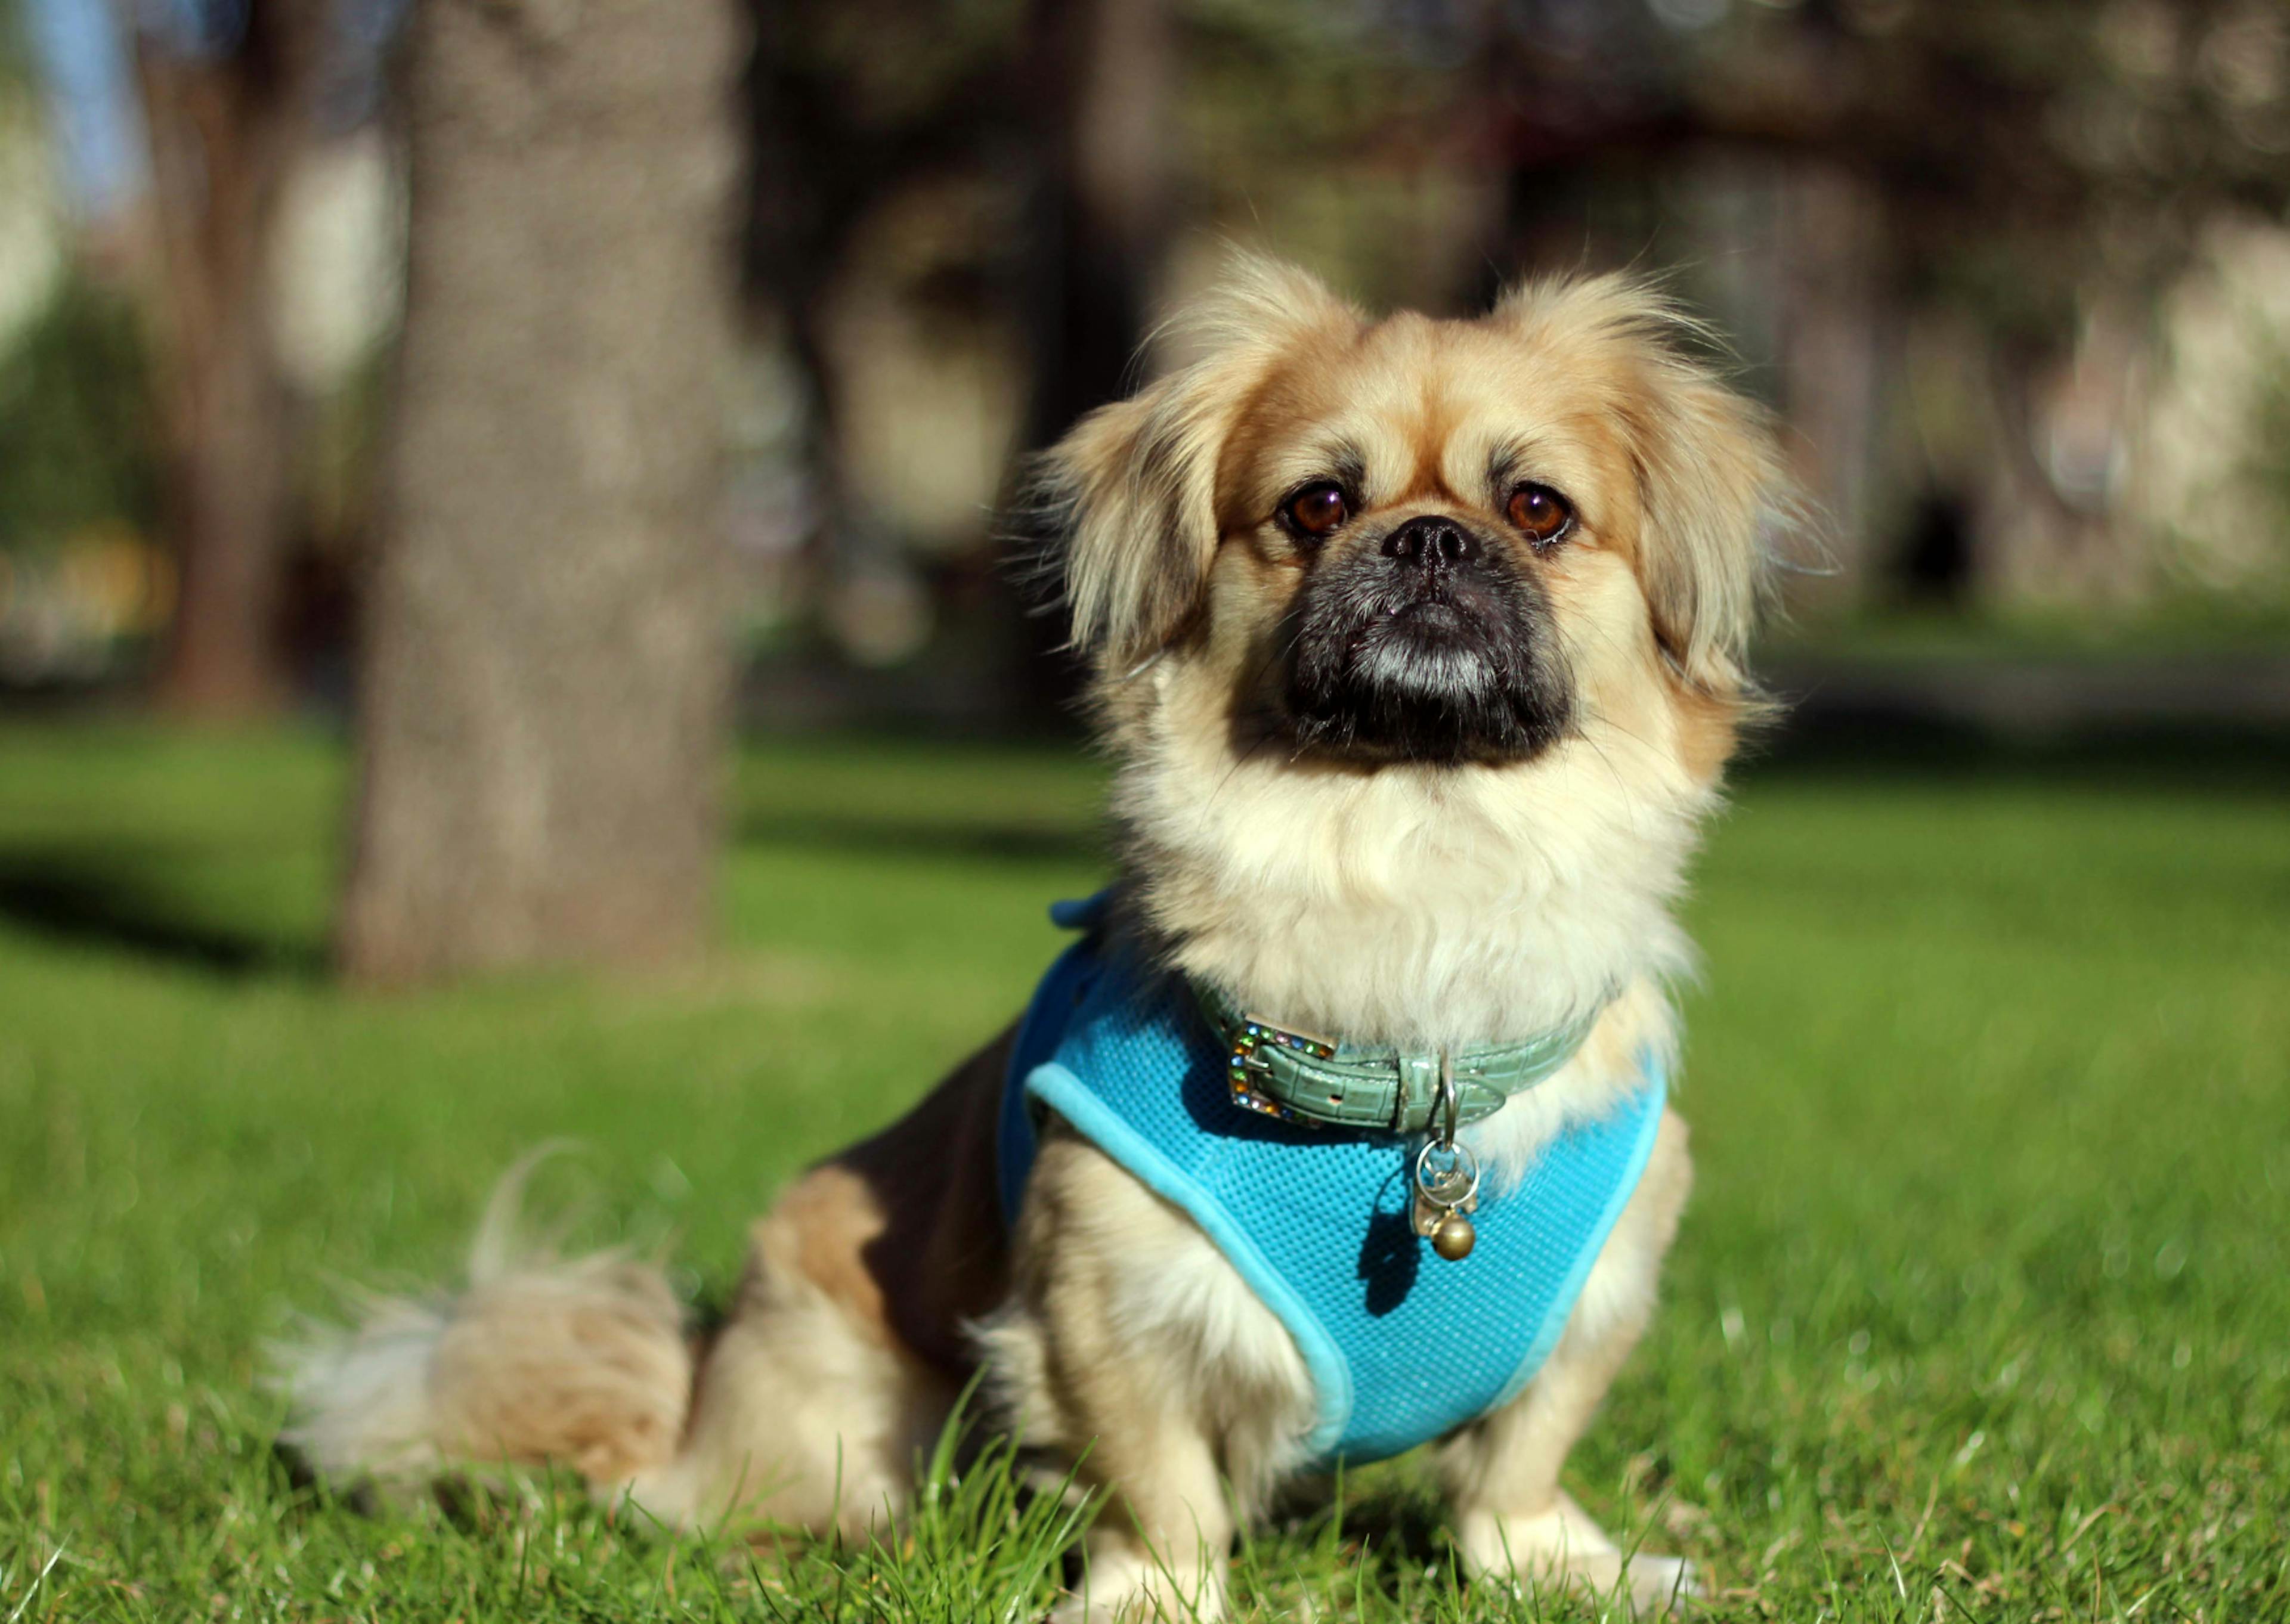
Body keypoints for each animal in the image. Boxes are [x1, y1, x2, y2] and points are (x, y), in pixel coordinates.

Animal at [281, 260, 1786, 1612]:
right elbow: (1162, 1485)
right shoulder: (1102, 1294)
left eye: (1536, 509)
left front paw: (1560, 1571)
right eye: (1316, 505)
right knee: (692, 1512)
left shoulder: (1598, 1296)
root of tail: (692, 1399)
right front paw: (1156, 1600)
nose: (1426, 539)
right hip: (841, 1410)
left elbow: (1513, 1472)